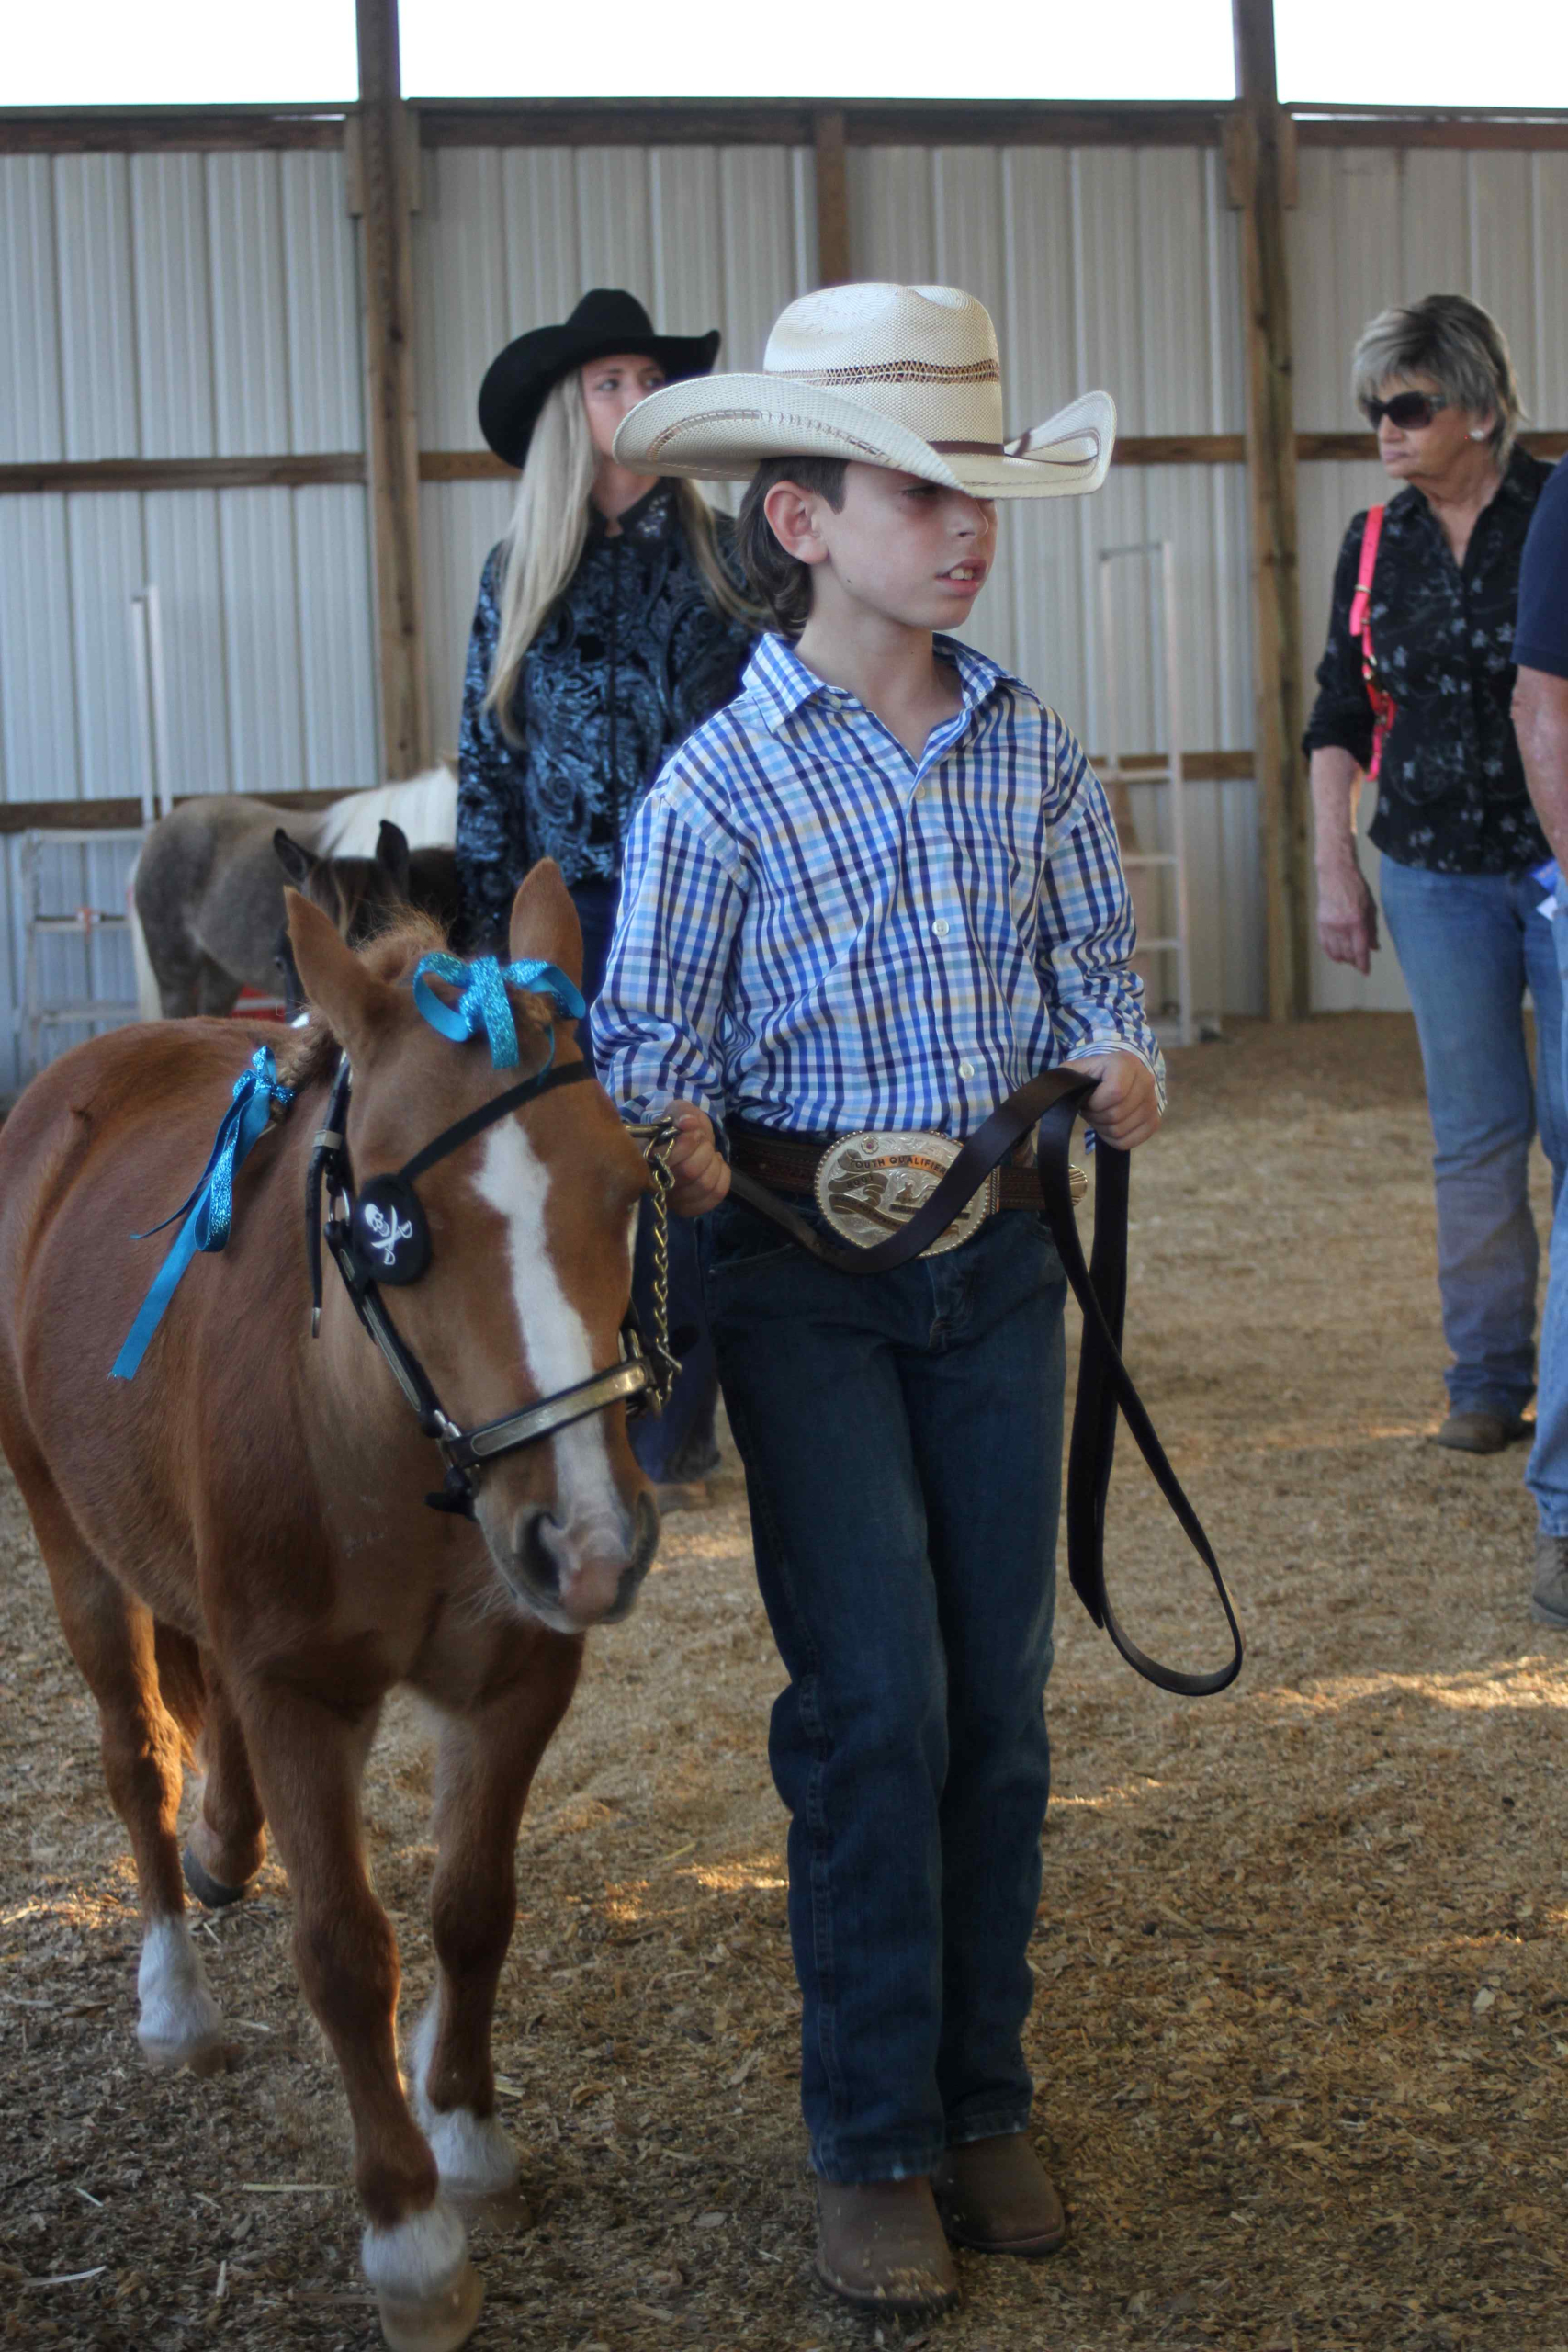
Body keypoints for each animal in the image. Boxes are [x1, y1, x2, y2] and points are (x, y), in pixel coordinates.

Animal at [0, 865, 658, 2352]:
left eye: (630, 1183)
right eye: (395, 1232)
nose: (590, 1545)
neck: (389, 1449)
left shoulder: (516, 1675)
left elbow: (473, 1906)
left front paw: (466, 2137)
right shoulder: (298, 1692)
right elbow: (346, 1948)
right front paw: (409, 2238)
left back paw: (225, 1843)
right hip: (69, 1534)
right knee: (135, 1753)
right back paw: (174, 1998)